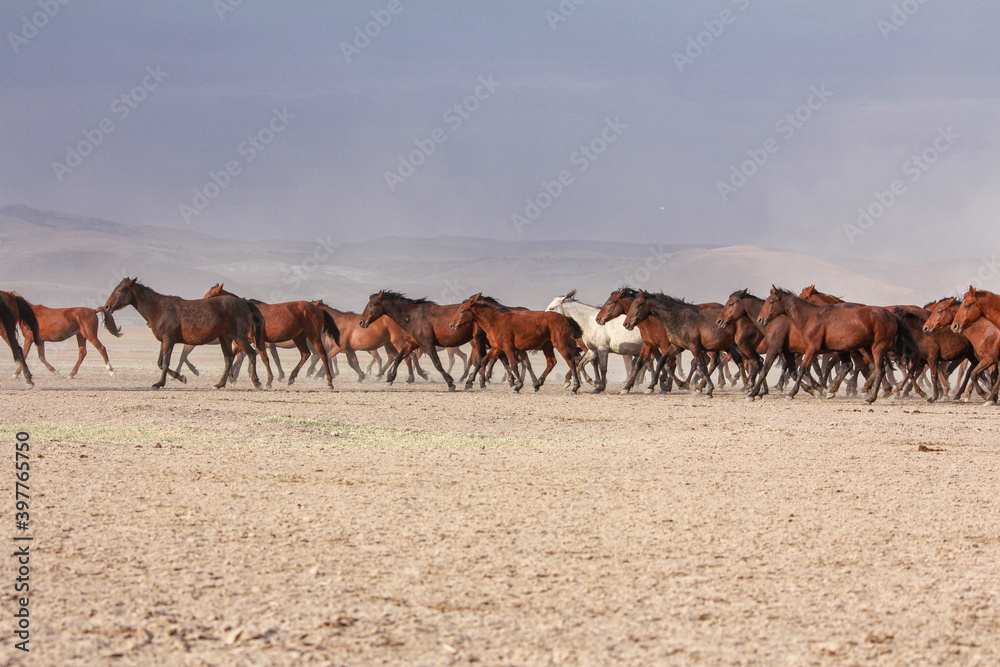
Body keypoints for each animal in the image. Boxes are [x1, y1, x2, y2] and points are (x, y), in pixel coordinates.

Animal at [102, 278, 264, 389]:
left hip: (239, 337)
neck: (160, 309)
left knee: (250, 354)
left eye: (120, 289)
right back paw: (219, 384)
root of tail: (243, 302)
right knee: (229, 358)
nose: (107, 306)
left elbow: (165, 362)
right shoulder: (163, 341)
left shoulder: (169, 340)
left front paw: (159, 383)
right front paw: (180, 377)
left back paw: (257, 382)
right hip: (225, 338)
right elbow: (160, 363)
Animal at [449, 293, 582, 393]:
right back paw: (537, 384)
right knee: (552, 362)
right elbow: (484, 361)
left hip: (560, 345)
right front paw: (482, 382)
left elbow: (512, 365)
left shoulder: (508, 348)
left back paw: (575, 387)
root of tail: (566, 318)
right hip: (548, 346)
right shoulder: (497, 348)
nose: (452, 325)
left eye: (462, 310)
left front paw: (517, 386)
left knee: (571, 361)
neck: (495, 321)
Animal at [757, 286, 909, 403]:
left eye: (771, 301)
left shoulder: (813, 349)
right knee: (878, 368)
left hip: (877, 347)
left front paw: (792, 393)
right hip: (868, 348)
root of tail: (892, 316)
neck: (810, 317)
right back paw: (886, 391)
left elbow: (803, 369)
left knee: (880, 369)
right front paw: (822, 389)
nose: (760, 319)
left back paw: (871, 398)